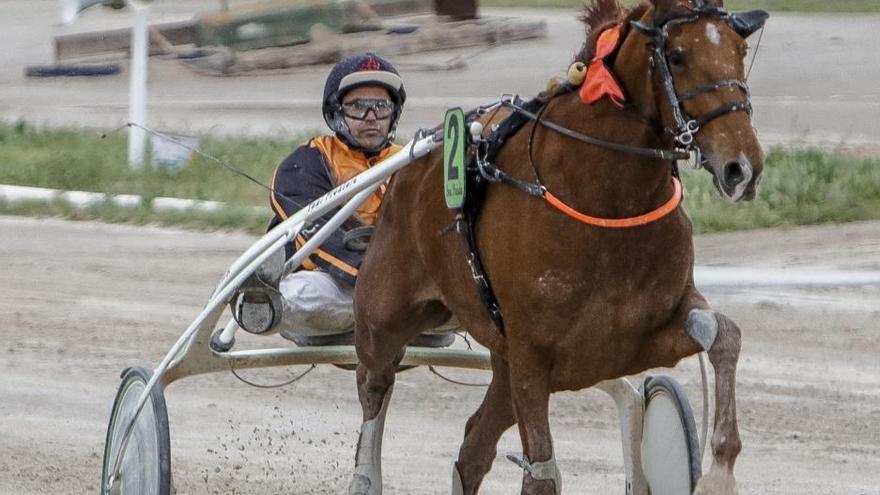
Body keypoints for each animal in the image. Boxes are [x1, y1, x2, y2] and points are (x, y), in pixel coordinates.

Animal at [348, 0, 768, 492]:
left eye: (740, 50)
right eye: (678, 55)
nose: (743, 167)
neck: (605, 199)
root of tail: (406, 164)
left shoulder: (635, 340)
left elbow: (725, 335)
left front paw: (719, 472)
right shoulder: (532, 357)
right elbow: (543, 473)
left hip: (502, 360)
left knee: (474, 446)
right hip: (384, 315)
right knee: (375, 382)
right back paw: (365, 475)